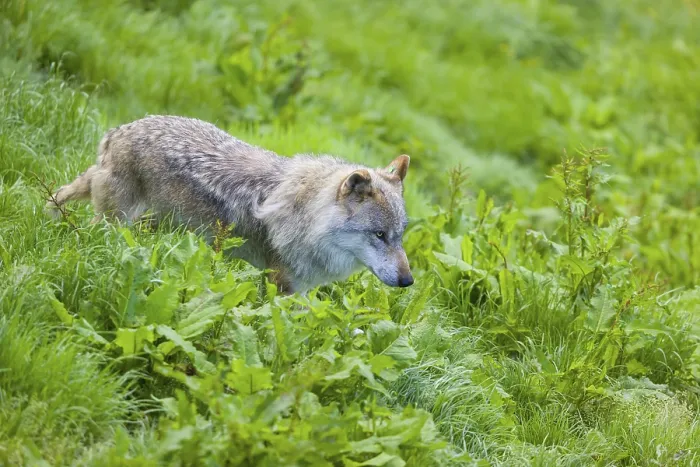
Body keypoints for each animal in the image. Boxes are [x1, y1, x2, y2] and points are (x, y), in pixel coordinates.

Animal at [47, 115, 414, 294]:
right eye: (379, 235)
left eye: (398, 237)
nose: (408, 281)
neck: (309, 217)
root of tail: (121, 129)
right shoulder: (281, 285)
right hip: (116, 223)